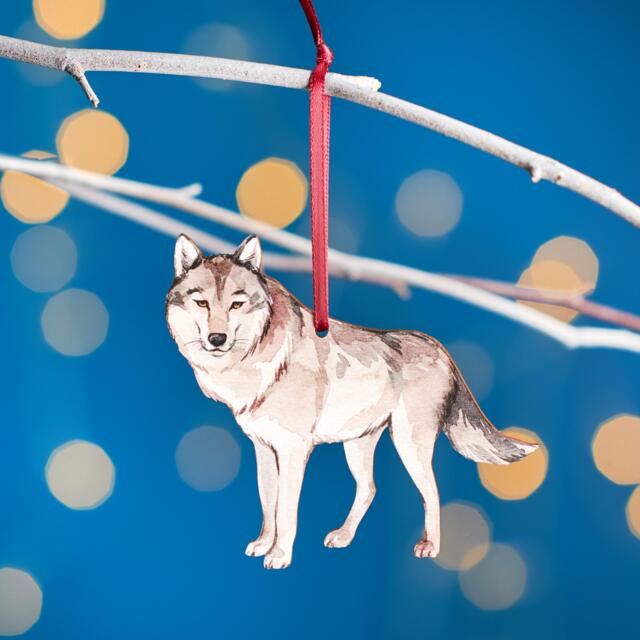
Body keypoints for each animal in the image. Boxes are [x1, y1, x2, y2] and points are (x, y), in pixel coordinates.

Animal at [166, 234, 537, 569]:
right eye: (202, 303)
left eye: (236, 304)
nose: (217, 339)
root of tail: (442, 351)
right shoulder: (263, 448)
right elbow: (268, 503)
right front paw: (262, 544)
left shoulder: (293, 451)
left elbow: (285, 511)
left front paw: (280, 557)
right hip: (357, 445)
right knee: (370, 488)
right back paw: (343, 536)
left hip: (408, 445)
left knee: (431, 492)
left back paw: (430, 547)